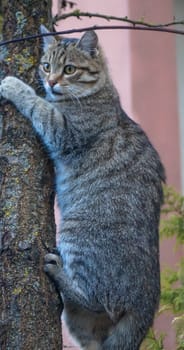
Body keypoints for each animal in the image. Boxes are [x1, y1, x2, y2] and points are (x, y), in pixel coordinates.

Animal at [0, 25, 165, 350]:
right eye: (46, 66)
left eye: (69, 69)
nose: (51, 82)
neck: (101, 92)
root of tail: (146, 302)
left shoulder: (65, 131)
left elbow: (39, 106)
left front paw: (14, 86)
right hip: (82, 326)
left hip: (77, 230)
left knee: (94, 298)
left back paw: (58, 272)